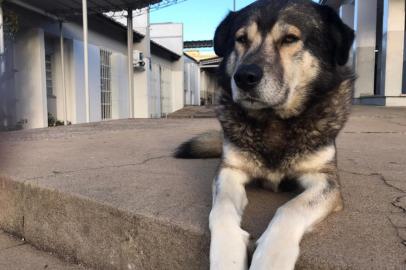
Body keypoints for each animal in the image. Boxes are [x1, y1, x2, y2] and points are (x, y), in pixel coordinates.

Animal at [174, 1, 356, 268]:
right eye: (241, 39)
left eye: (290, 39)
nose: (243, 77)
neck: (274, 120)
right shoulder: (230, 170)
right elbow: (221, 210)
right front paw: (227, 255)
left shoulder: (325, 180)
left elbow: (290, 208)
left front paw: (271, 257)